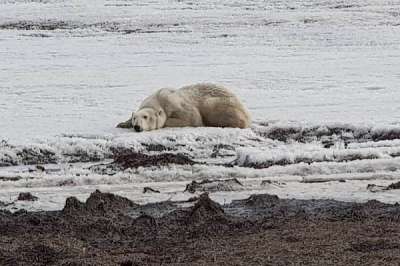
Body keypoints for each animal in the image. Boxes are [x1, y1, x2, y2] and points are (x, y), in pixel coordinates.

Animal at [117, 83, 252, 132]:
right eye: (135, 118)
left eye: (145, 117)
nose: (137, 127)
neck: (158, 99)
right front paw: (122, 123)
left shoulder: (174, 103)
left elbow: (193, 118)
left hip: (218, 103)